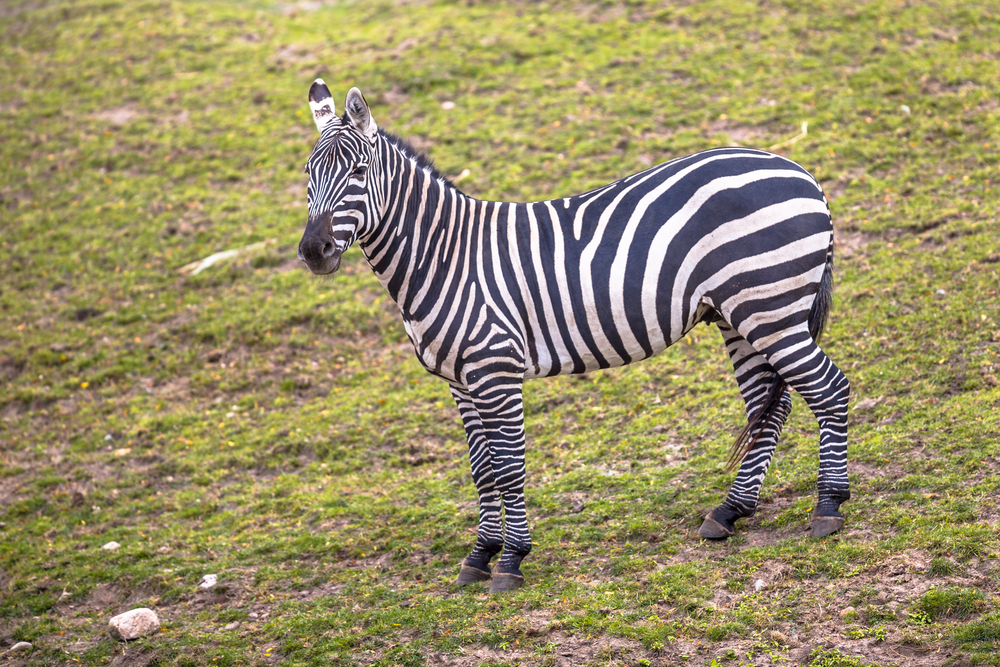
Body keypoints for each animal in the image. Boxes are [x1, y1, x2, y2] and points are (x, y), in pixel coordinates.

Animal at [296, 78, 852, 596]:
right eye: (307, 175)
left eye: (358, 172)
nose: (313, 251)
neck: (443, 255)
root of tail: (800, 170)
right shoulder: (458, 379)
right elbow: (482, 469)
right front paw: (480, 555)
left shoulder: (495, 369)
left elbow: (509, 467)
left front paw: (511, 560)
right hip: (738, 315)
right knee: (769, 406)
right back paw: (731, 511)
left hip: (770, 306)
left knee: (830, 389)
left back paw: (828, 506)